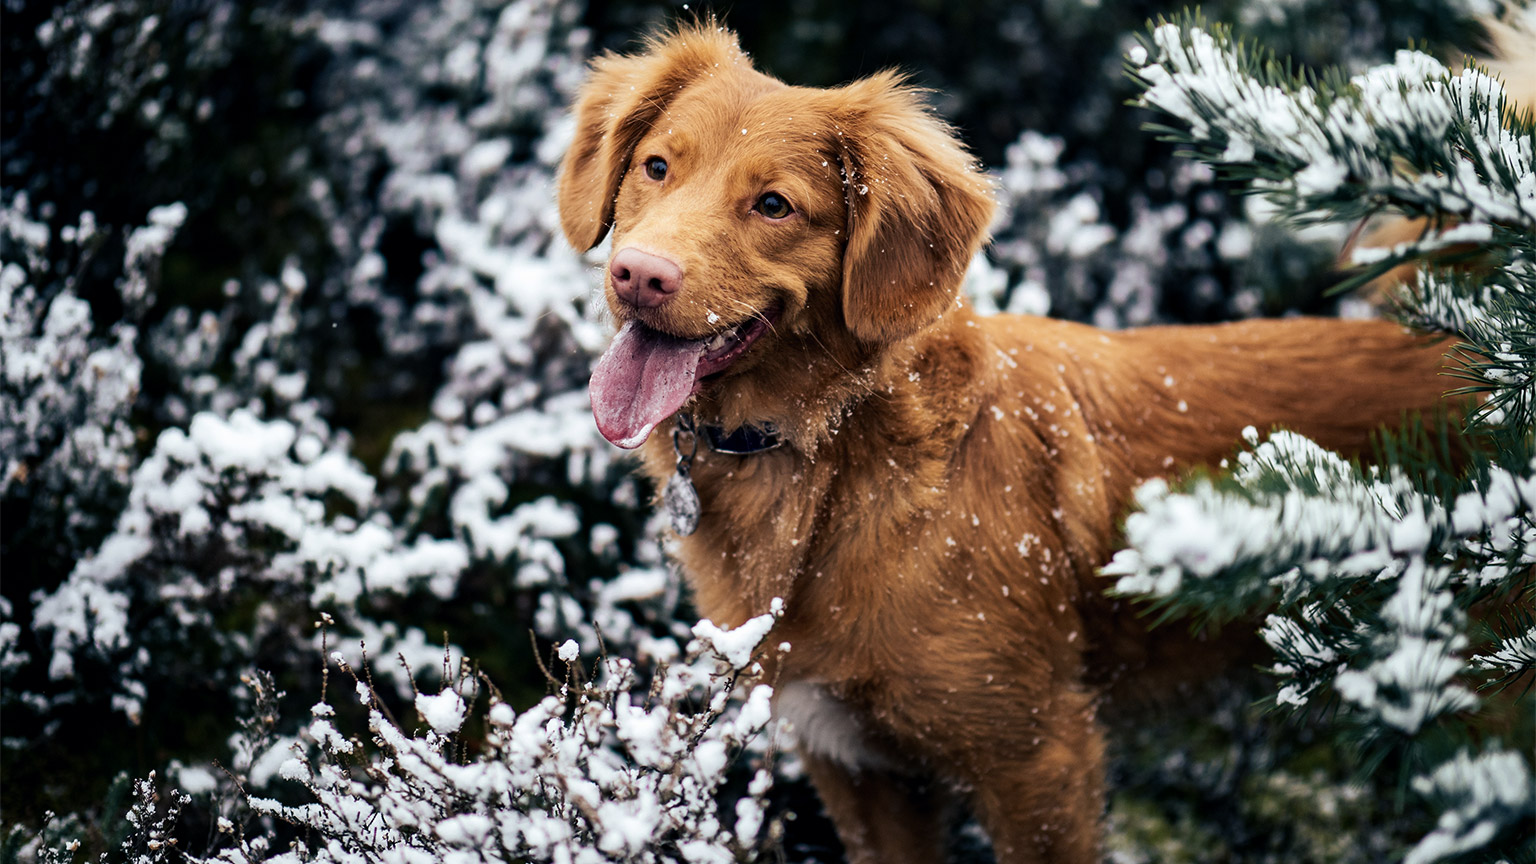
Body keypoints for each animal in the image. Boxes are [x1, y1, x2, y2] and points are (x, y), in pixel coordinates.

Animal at [559, 25, 1456, 860]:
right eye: (656, 167)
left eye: (774, 206)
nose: (639, 275)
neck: (830, 457)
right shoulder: (857, 768)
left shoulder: (1038, 756)